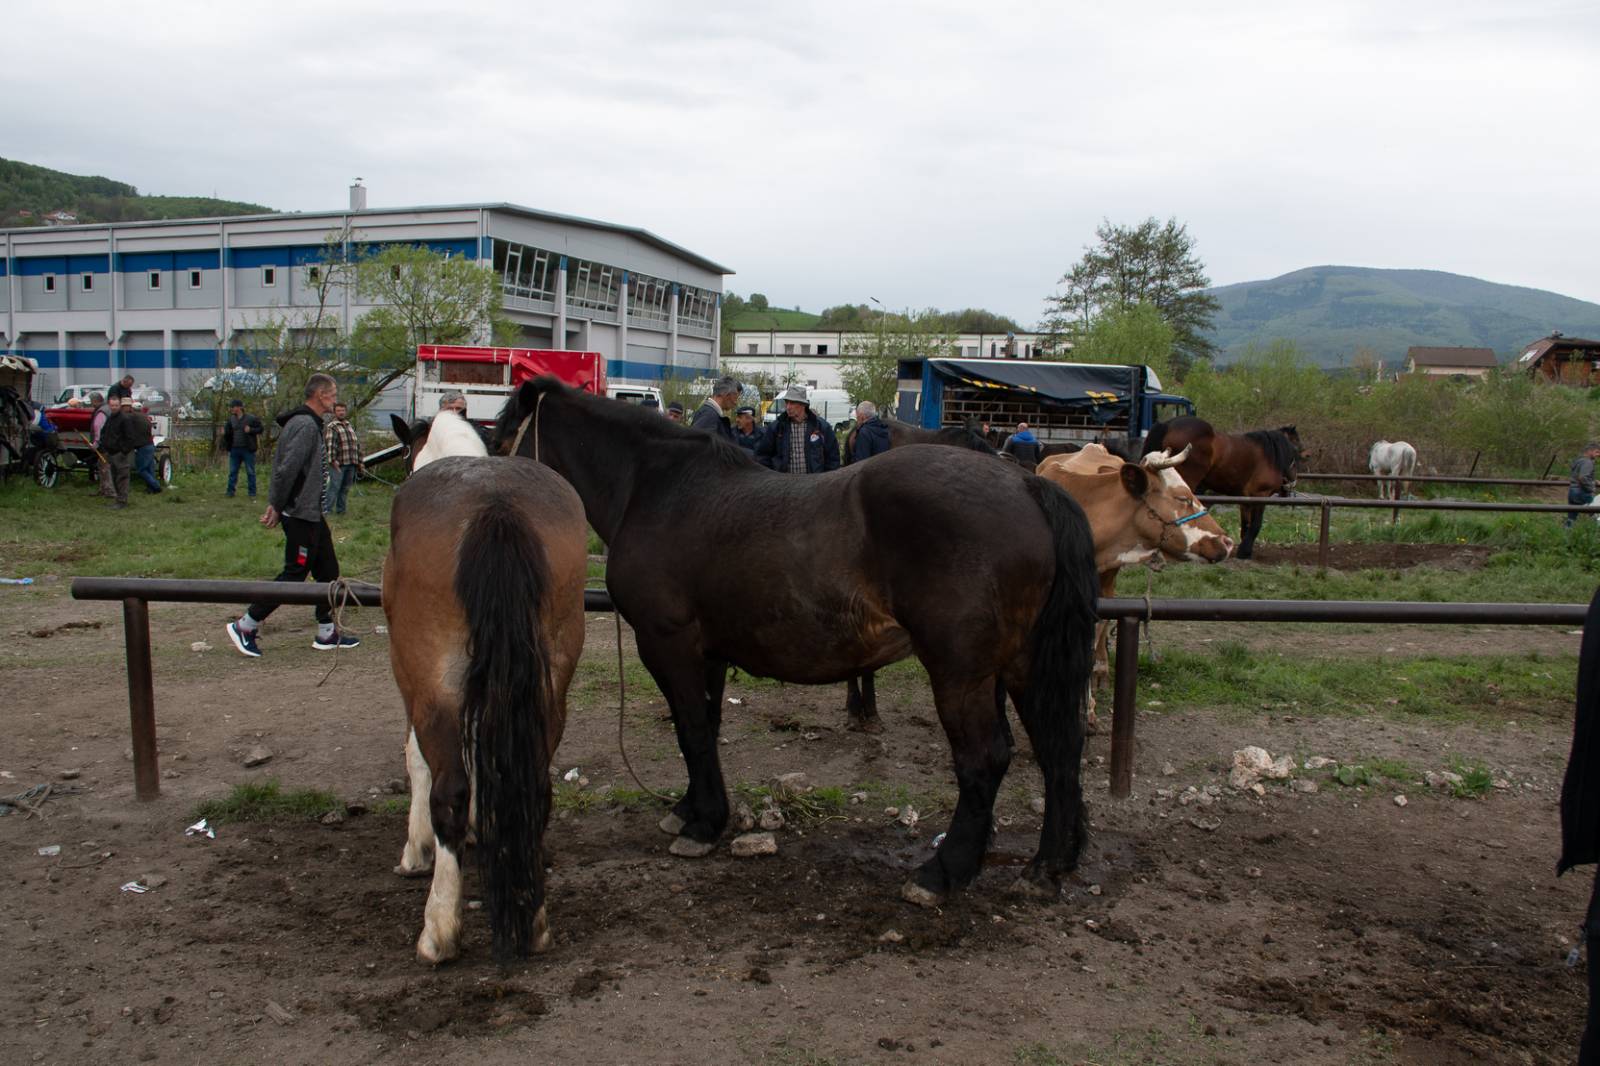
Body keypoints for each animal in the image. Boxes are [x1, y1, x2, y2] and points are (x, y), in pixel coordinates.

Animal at [383, 412, 588, 962]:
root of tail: (495, 508)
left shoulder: (415, 685)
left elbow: (417, 760)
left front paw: (415, 849)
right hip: (547, 688)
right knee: (534, 786)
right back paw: (532, 919)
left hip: (433, 687)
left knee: (448, 789)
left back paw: (439, 930)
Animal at [493, 378, 1100, 904]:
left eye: (500, 435)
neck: (657, 491)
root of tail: (1026, 483)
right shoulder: (707, 653)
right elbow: (705, 726)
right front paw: (692, 809)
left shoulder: (667, 643)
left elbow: (691, 730)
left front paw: (704, 824)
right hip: (1020, 664)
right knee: (1058, 747)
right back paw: (1048, 865)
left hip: (961, 672)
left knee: (984, 758)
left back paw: (943, 872)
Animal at [1141, 416, 1305, 560]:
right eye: (1297, 450)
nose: (1291, 483)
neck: (1270, 454)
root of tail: (1167, 424)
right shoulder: (1260, 495)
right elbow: (1256, 524)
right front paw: (1245, 552)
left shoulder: (1245, 499)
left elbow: (1245, 526)